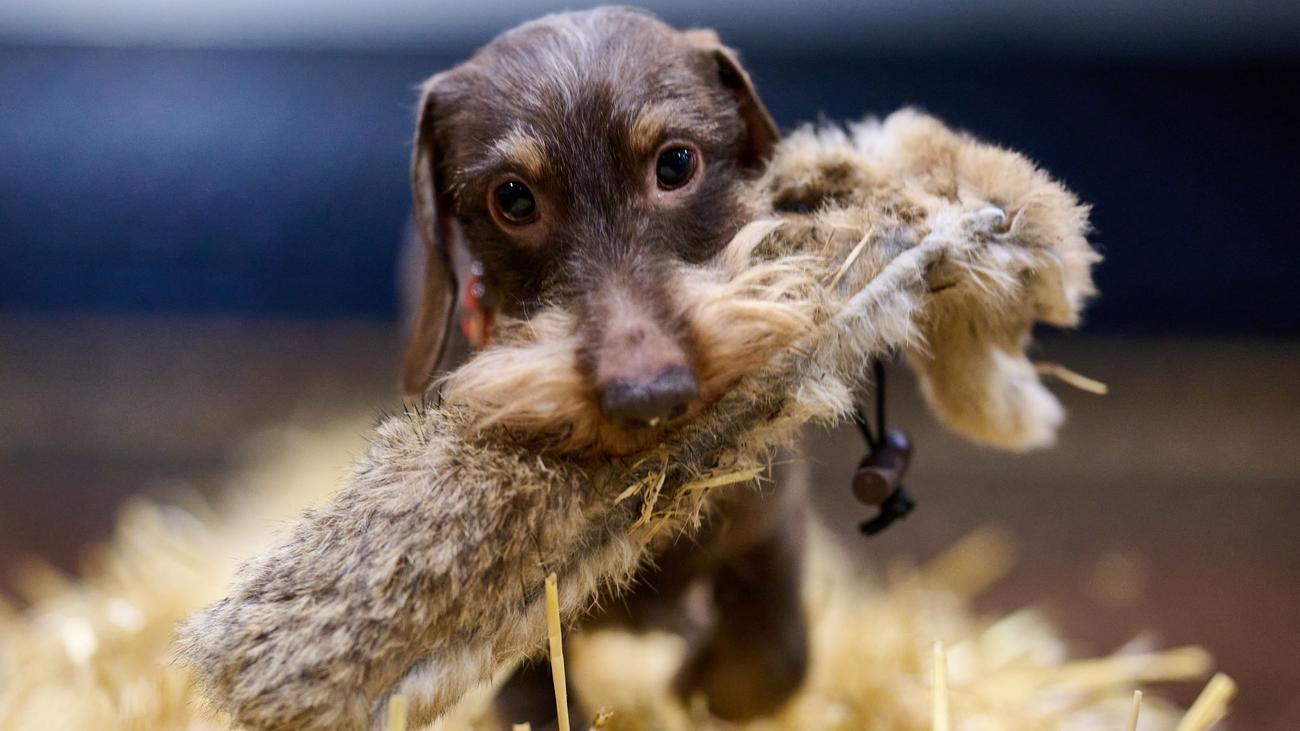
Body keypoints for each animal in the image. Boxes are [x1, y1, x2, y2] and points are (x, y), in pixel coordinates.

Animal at [398, 6, 807, 725]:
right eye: (513, 199)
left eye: (676, 162)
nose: (648, 396)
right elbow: (532, 695)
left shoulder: (774, 520)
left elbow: (772, 662)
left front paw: (699, 683)